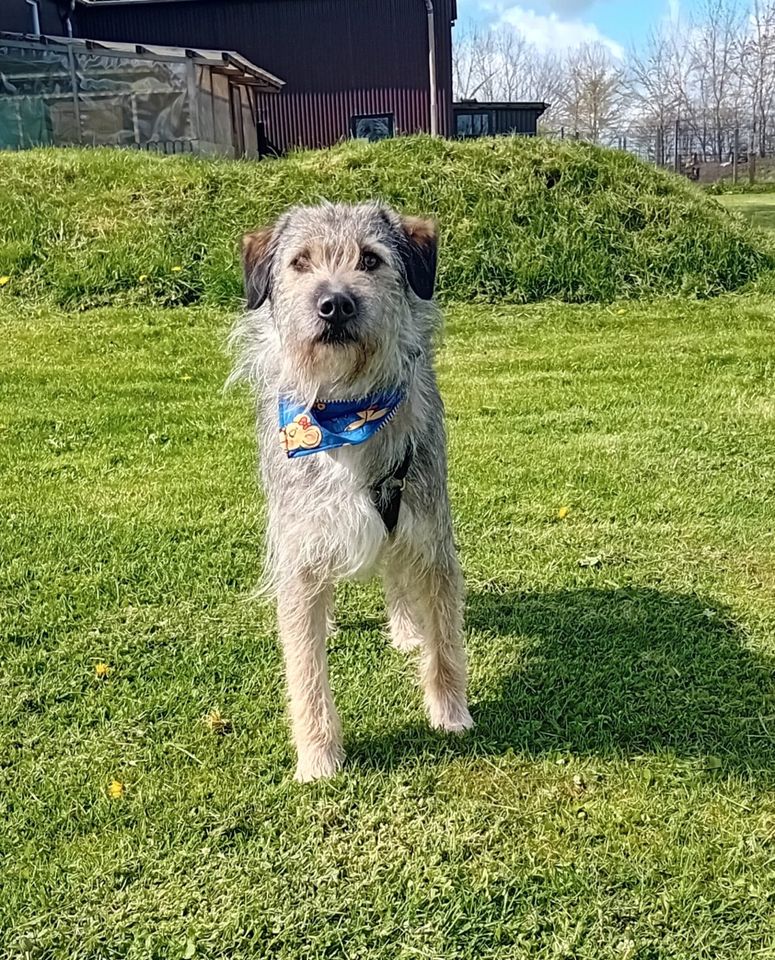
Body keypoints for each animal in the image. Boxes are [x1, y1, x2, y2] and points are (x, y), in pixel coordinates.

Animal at [230, 202, 472, 780]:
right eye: (299, 262)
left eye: (370, 259)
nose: (334, 303)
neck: (347, 409)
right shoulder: (301, 550)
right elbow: (306, 671)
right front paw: (319, 757)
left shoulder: (430, 535)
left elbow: (445, 639)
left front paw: (451, 712)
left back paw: (406, 628)